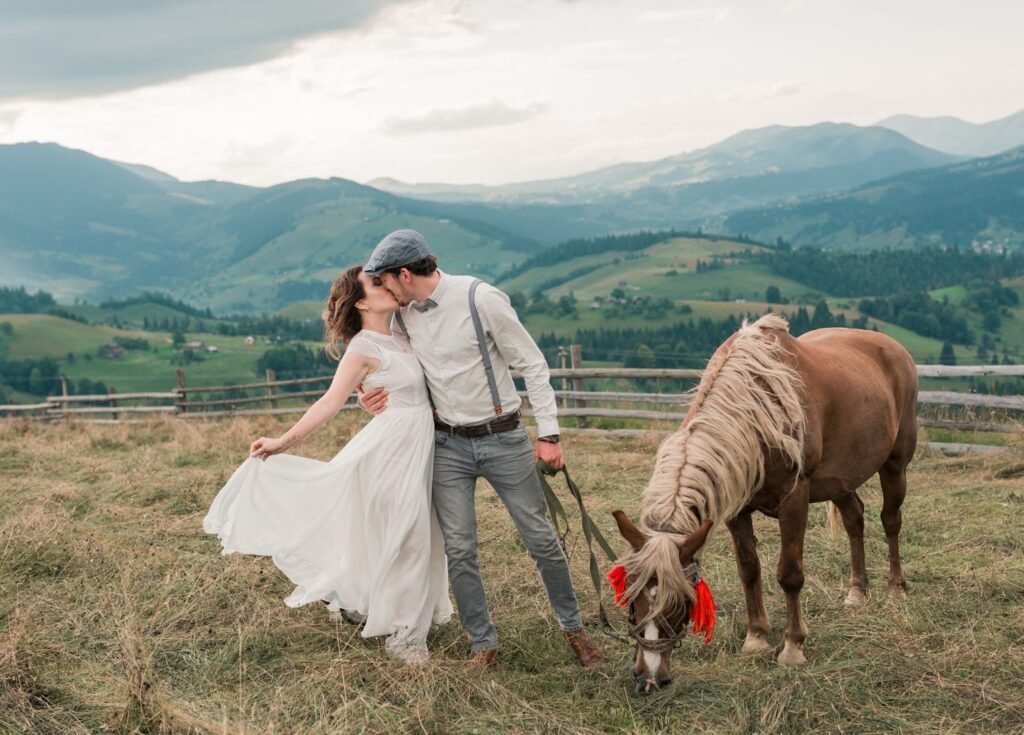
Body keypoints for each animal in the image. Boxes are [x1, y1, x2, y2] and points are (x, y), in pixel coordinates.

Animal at [610, 313, 917, 692]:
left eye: (682, 599)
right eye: (630, 596)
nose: (649, 678)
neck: (755, 412)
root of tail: (895, 349)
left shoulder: (794, 501)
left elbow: (790, 575)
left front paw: (792, 647)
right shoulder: (737, 510)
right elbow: (749, 569)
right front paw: (756, 638)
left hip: (895, 464)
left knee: (891, 520)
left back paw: (896, 588)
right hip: (841, 479)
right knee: (854, 519)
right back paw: (857, 591)